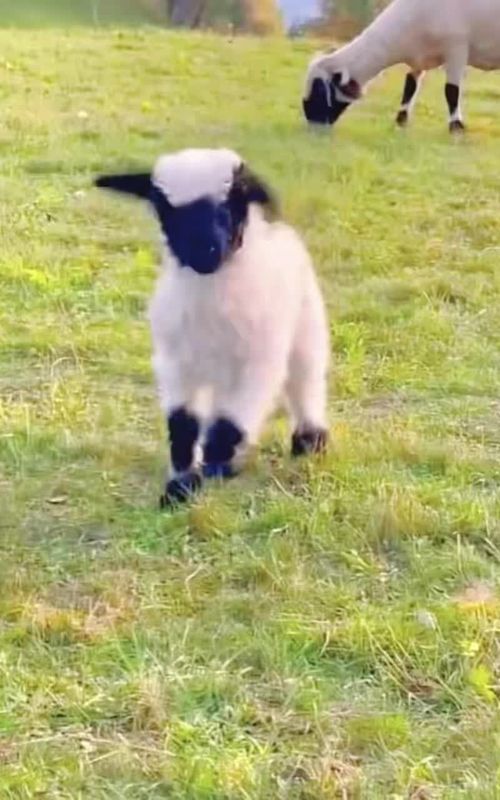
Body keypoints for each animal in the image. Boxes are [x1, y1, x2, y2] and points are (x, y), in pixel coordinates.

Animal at [95, 148, 329, 507]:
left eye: (234, 200)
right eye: (163, 207)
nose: (204, 250)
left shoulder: (258, 362)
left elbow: (228, 424)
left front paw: (212, 469)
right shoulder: (175, 363)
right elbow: (183, 425)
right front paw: (180, 486)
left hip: (305, 325)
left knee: (305, 379)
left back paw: (310, 438)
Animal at [303, 0, 500, 133]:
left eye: (320, 88)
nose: (312, 122)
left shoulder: (456, 47)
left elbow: (451, 90)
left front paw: (456, 127)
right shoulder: (418, 59)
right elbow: (409, 87)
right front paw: (401, 121)